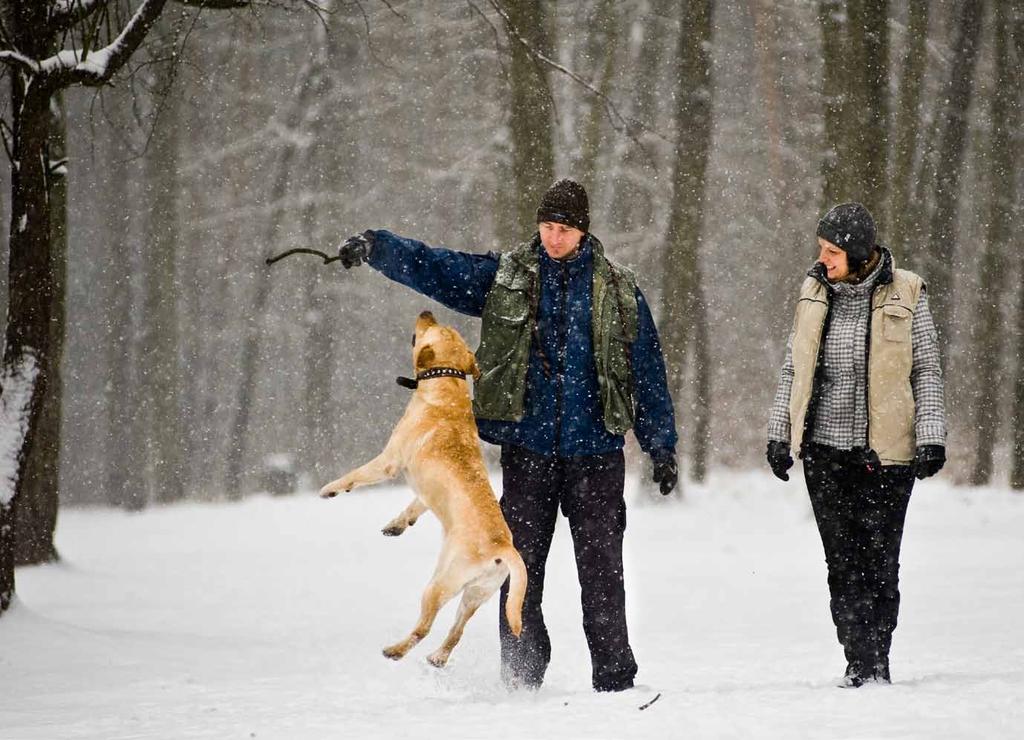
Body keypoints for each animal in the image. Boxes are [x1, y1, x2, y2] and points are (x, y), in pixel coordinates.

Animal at [319, 309, 528, 667]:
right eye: (446, 326)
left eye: (433, 327)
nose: (426, 311)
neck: (446, 384)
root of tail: (504, 549)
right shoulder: (425, 490)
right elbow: (415, 505)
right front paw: (397, 525)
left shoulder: (389, 460)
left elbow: (356, 475)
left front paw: (332, 488)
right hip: (477, 595)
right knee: (456, 632)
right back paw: (438, 658)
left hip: (439, 585)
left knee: (424, 628)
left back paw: (395, 651)